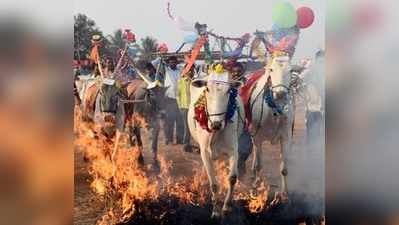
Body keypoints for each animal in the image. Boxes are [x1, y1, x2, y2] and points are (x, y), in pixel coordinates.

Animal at [188, 67, 244, 218]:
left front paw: (226, 207)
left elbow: (232, 178)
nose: (216, 124)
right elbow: (213, 184)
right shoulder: (205, 152)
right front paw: (215, 211)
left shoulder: (233, 150)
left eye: (229, 91)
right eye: (207, 89)